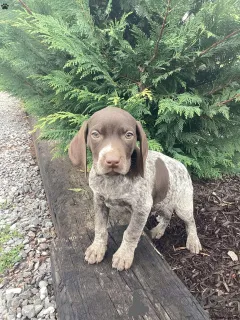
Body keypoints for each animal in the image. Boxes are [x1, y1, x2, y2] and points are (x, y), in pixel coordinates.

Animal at [68, 107, 202, 270]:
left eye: (128, 135)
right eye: (95, 134)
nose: (112, 161)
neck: (112, 180)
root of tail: (183, 165)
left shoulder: (142, 208)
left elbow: (131, 233)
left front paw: (123, 255)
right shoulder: (99, 200)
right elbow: (100, 228)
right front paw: (97, 248)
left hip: (183, 204)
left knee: (191, 221)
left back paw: (193, 240)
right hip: (162, 203)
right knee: (167, 215)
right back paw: (159, 230)